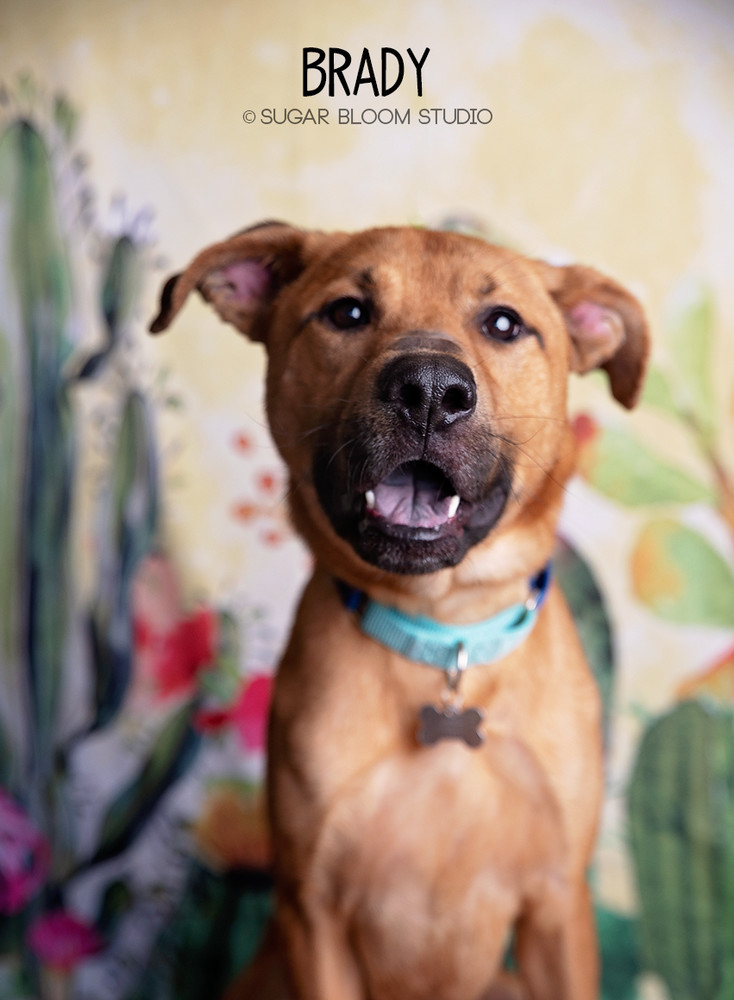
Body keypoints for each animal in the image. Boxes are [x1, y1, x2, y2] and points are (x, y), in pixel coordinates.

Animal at [150, 223, 648, 996]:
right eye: (348, 312)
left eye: (504, 323)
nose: (429, 392)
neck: (442, 638)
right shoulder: (313, 912)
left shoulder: (559, 906)